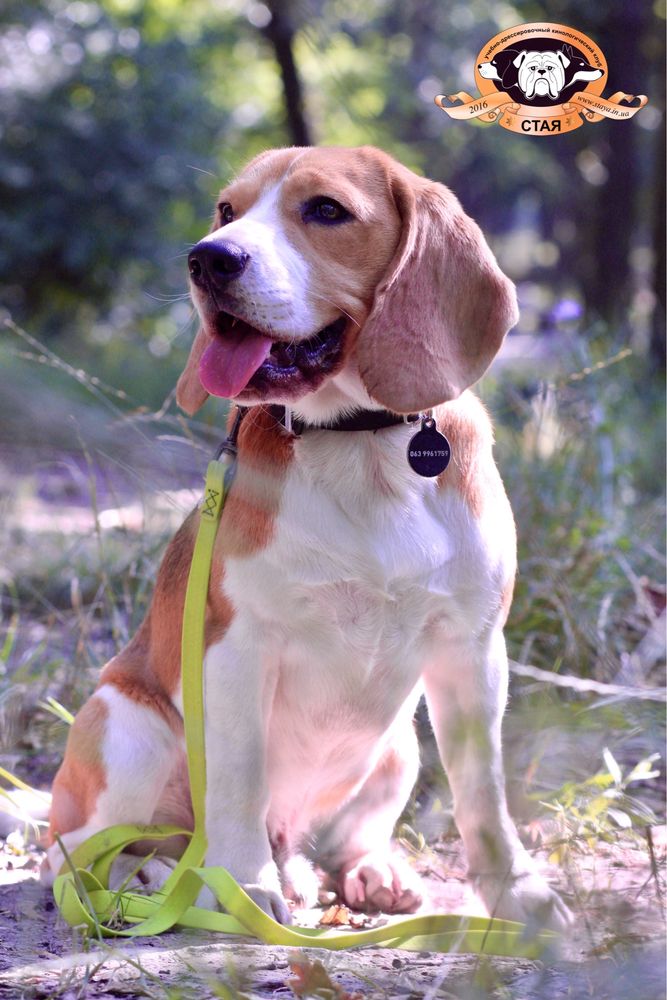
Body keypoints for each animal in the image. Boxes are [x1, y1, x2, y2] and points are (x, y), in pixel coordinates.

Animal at [47, 146, 572, 928]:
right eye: (226, 211)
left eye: (326, 210)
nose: (207, 259)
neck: (360, 441)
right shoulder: (237, 646)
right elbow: (238, 779)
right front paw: (244, 889)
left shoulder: (473, 649)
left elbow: (483, 792)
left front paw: (516, 892)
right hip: (125, 726)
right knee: (84, 856)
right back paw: (160, 879)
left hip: (399, 746)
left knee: (333, 841)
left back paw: (365, 871)